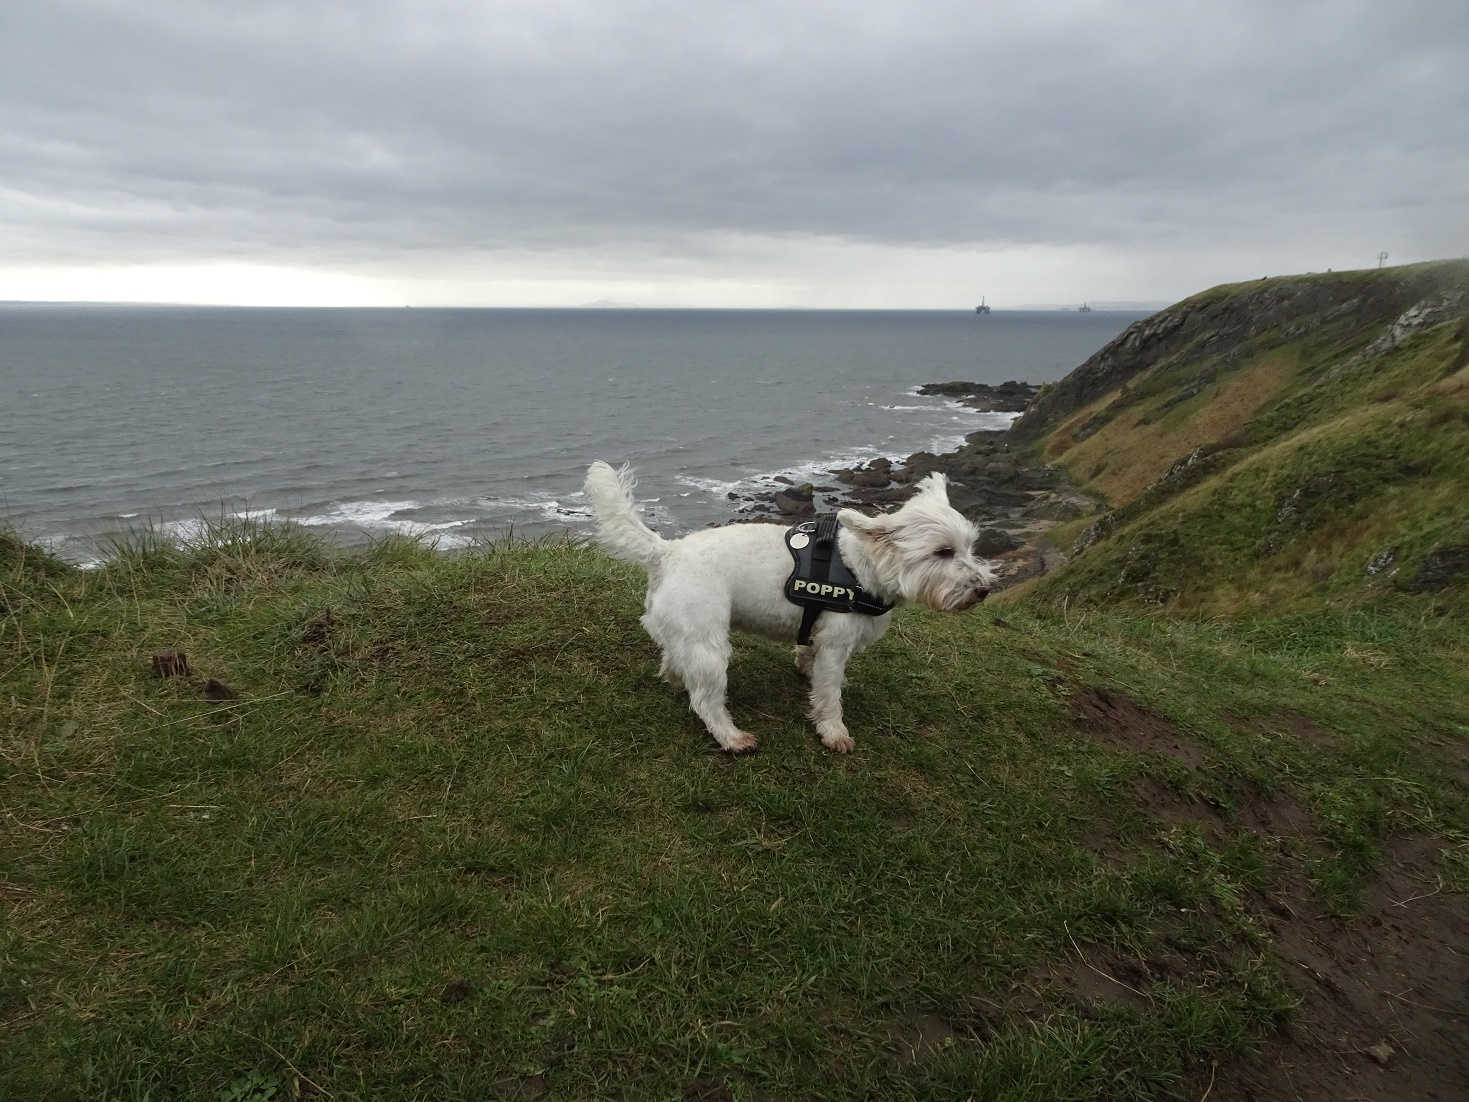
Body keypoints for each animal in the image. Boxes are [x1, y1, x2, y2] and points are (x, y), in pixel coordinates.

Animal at [578, 461, 993, 758]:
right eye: (942, 552)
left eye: (969, 546)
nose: (984, 589)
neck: (862, 567)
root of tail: (667, 552)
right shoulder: (835, 644)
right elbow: (829, 693)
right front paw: (833, 730)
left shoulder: (817, 635)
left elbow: (811, 661)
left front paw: (807, 672)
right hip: (709, 644)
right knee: (706, 699)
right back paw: (731, 737)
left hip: (685, 630)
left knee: (674, 661)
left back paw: (676, 678)